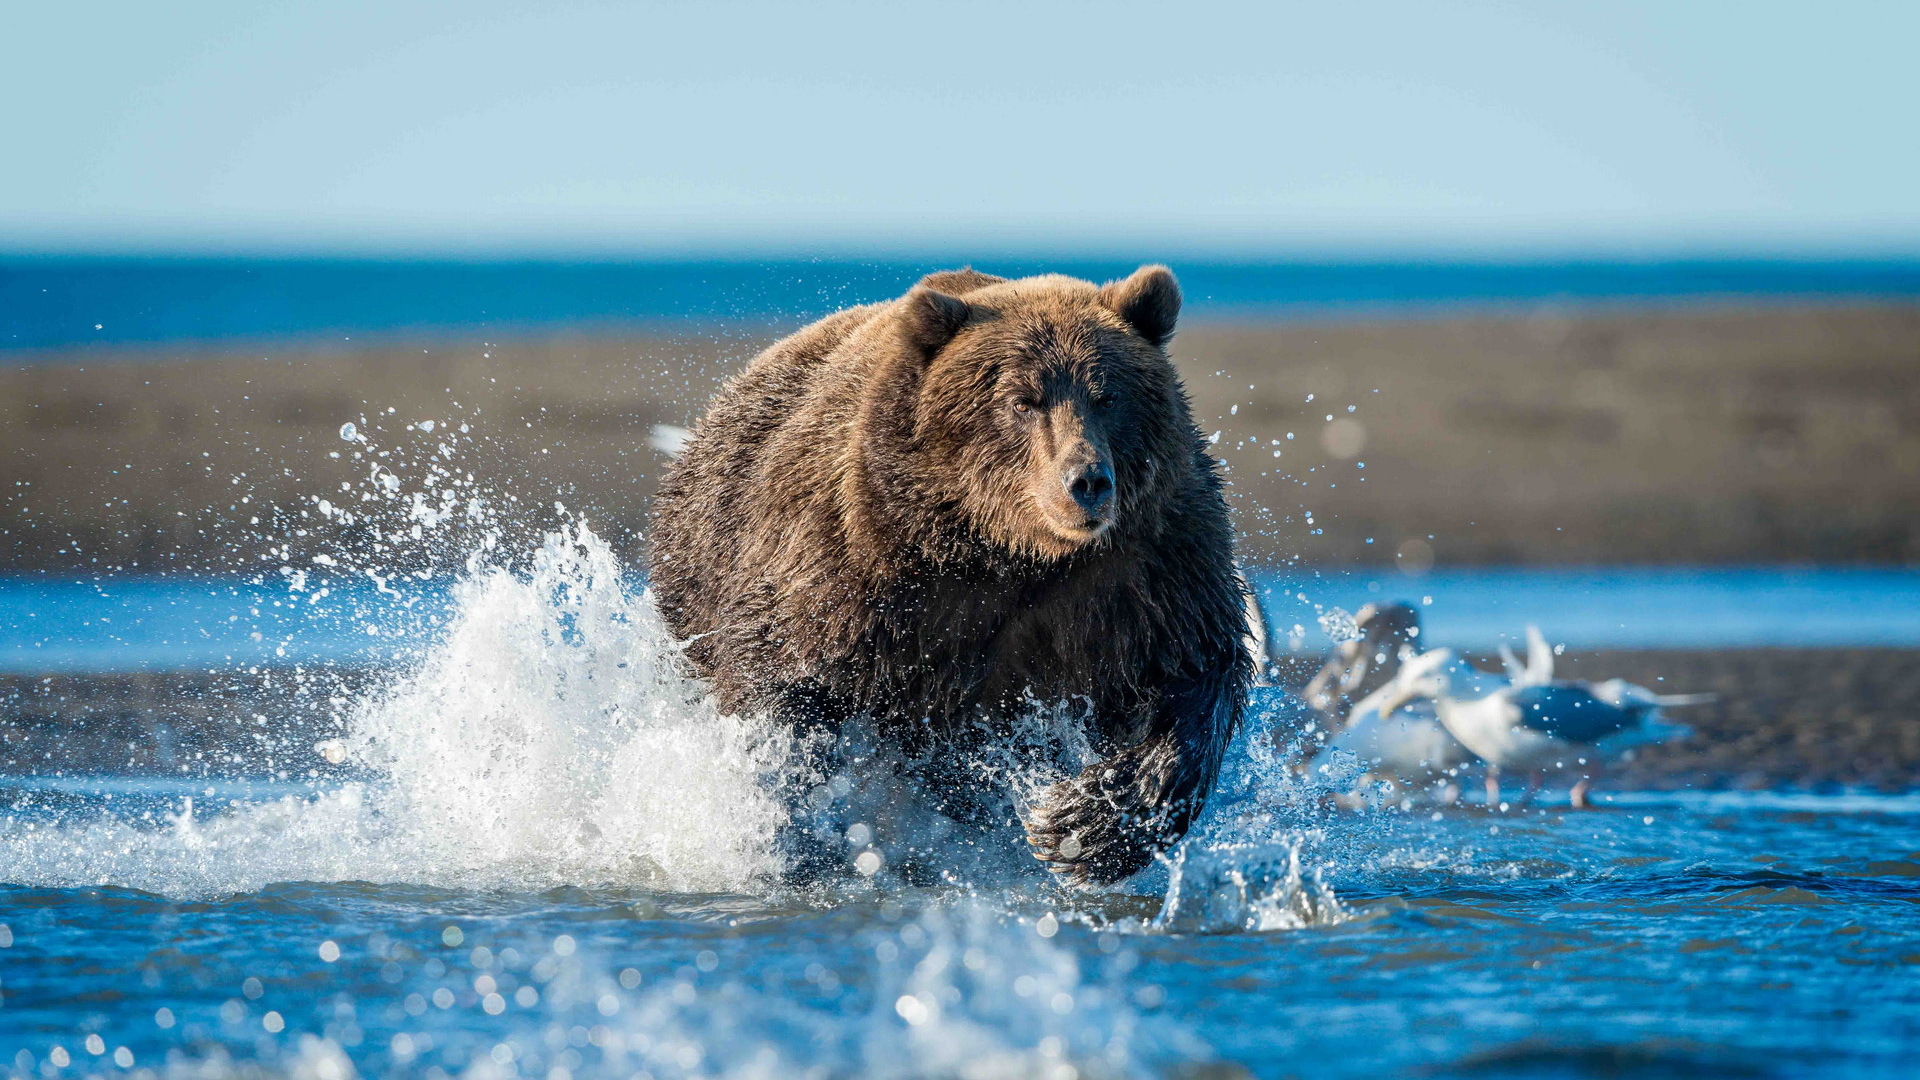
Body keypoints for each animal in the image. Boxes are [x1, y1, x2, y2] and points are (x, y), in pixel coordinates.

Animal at [652, 263, 1251, 883]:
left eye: (1107, 396)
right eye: (1022, 401)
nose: (1086, 480)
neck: (1009, 552)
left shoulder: (1151, 572)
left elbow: (1196, 671)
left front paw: (1083, 825)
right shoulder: (857, 564)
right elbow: (781, 680)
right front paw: (791, 830)